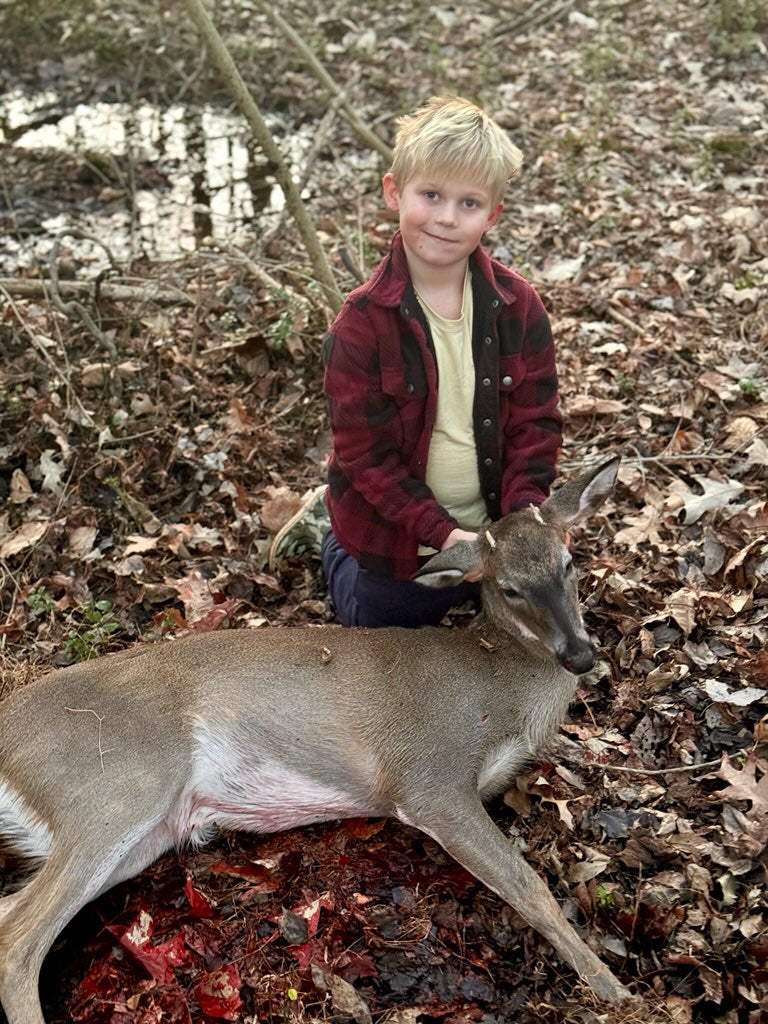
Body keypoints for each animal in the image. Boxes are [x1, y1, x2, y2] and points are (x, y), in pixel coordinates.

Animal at [0, 457, 631, 1024]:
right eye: (509, 587)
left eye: (569, 562)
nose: (580, 655)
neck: (497, 689)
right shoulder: (429, 777)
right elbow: (530, 887)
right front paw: (612, 988)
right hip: (116, 787)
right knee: (17, 944)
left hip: (142, 832)